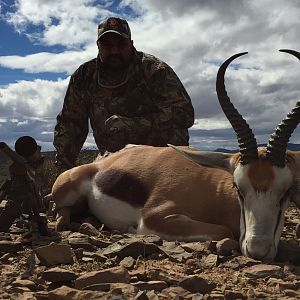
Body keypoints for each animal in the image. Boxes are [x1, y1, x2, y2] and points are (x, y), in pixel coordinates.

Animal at [52, 49, 300, 260]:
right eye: (238, 188)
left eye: (287, 191)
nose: (257, 250)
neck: (215, 192)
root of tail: (102, 162)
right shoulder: (156, 218)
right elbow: (223, 231)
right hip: (64, 193)